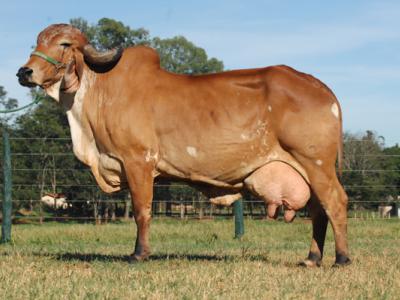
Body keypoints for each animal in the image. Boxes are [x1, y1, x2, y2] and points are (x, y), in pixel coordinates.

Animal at [17, 24, 350, 266]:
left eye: (63, 44)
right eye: (37, 41)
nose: (25, 72)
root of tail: (320, 87)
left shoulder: (138, 162)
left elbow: (141, 211)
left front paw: (139, 254)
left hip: (316, 164)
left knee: (335, 203)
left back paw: (341, 258)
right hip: (307, 170)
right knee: (319, 210)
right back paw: (312, 258)